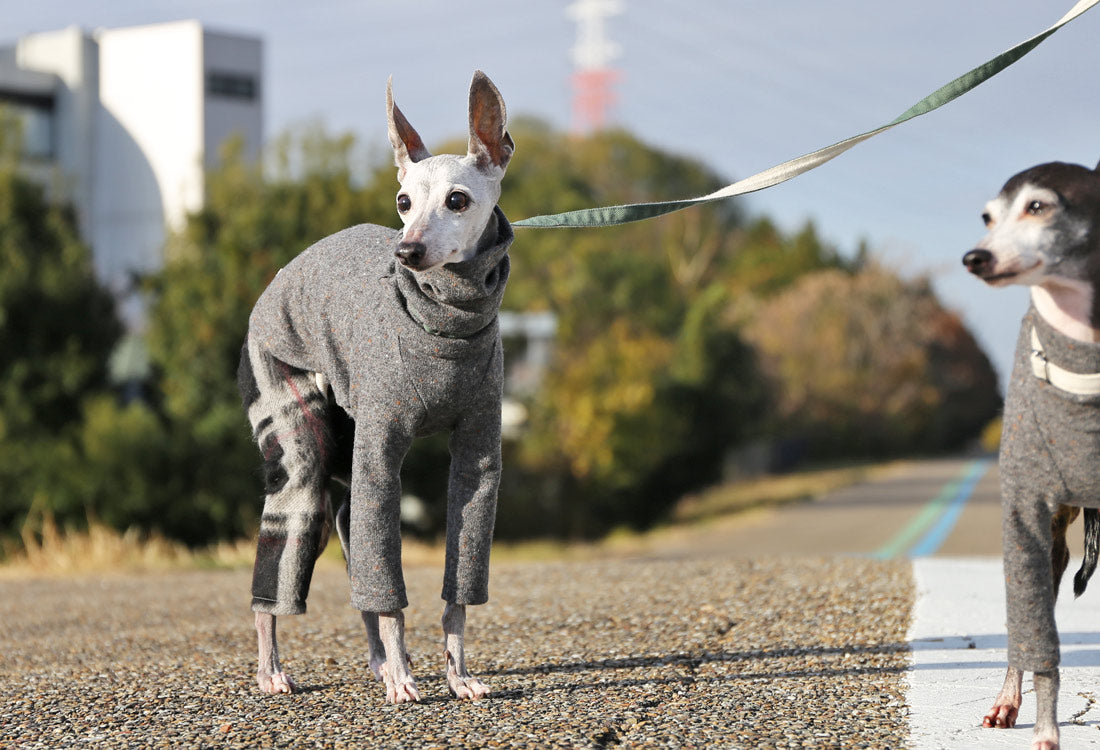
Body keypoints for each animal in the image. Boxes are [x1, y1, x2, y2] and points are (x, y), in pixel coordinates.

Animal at [238, 70, 512, 699]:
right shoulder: (381, 457)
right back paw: (273, 668)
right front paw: (407, 680)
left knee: (352, 548)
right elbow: (388, 589)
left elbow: (458, 582)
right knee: (290, 538)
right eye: (403, 202)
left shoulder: (479, 458)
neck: (444, 322)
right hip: (292, 418)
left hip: (344, 471)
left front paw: (457, 675)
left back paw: (384, 662)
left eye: (457, 200)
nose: (406, 250)